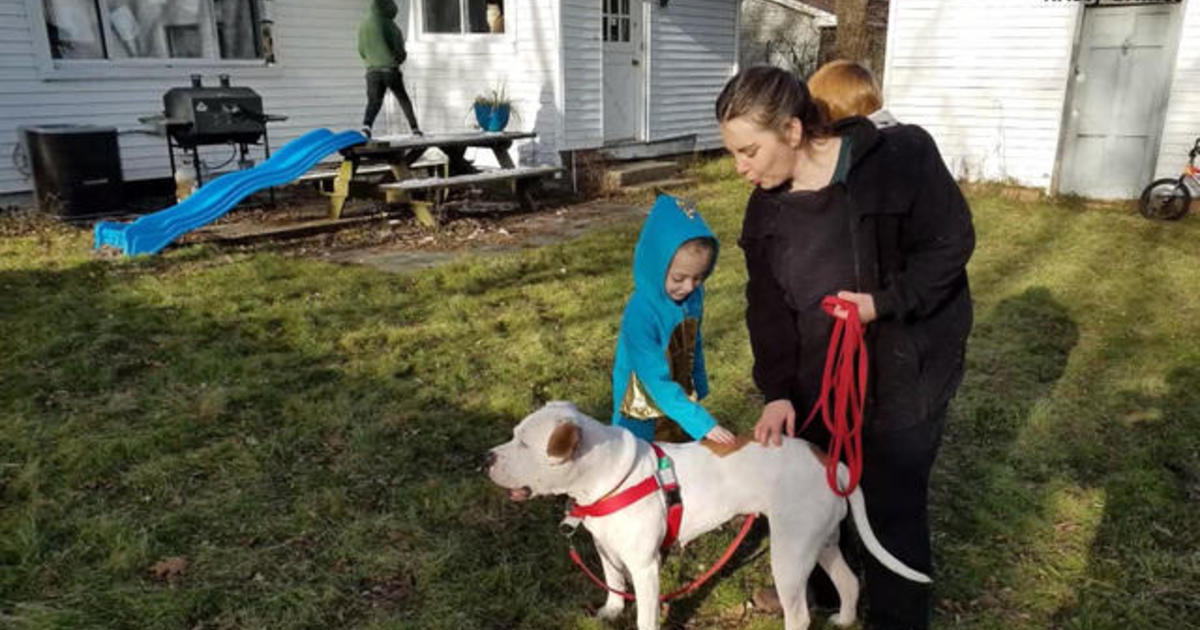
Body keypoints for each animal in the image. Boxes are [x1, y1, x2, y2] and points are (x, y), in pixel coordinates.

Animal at [482, 400, 931, 624]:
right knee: (849, 583)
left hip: (789, 553)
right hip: (820, 542)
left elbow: (645, 614)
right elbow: (612, 582)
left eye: (525, 444)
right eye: (514, 436)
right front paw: (610, 611)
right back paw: (844, 620)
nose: (487, 457)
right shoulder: (606, 548)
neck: (604, 477)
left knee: (800, 615)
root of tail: (830, 462)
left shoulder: (645, 568)